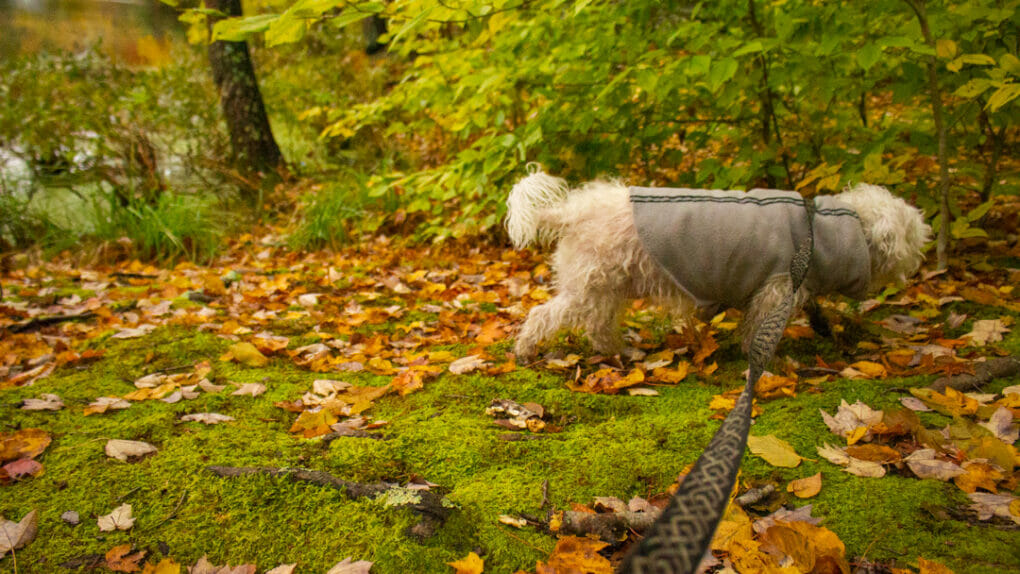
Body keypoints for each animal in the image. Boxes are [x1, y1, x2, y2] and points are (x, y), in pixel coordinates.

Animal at [505, 168, 930, 360]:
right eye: (913, 232)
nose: (924, 250)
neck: (817, 230)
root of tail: (571, 212)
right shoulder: (775, 288)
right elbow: (759, 328)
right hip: (591, 285)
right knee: (543, 315)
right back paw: (526, 348)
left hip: (606, 287)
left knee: (596, 324)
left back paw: (616, 350)